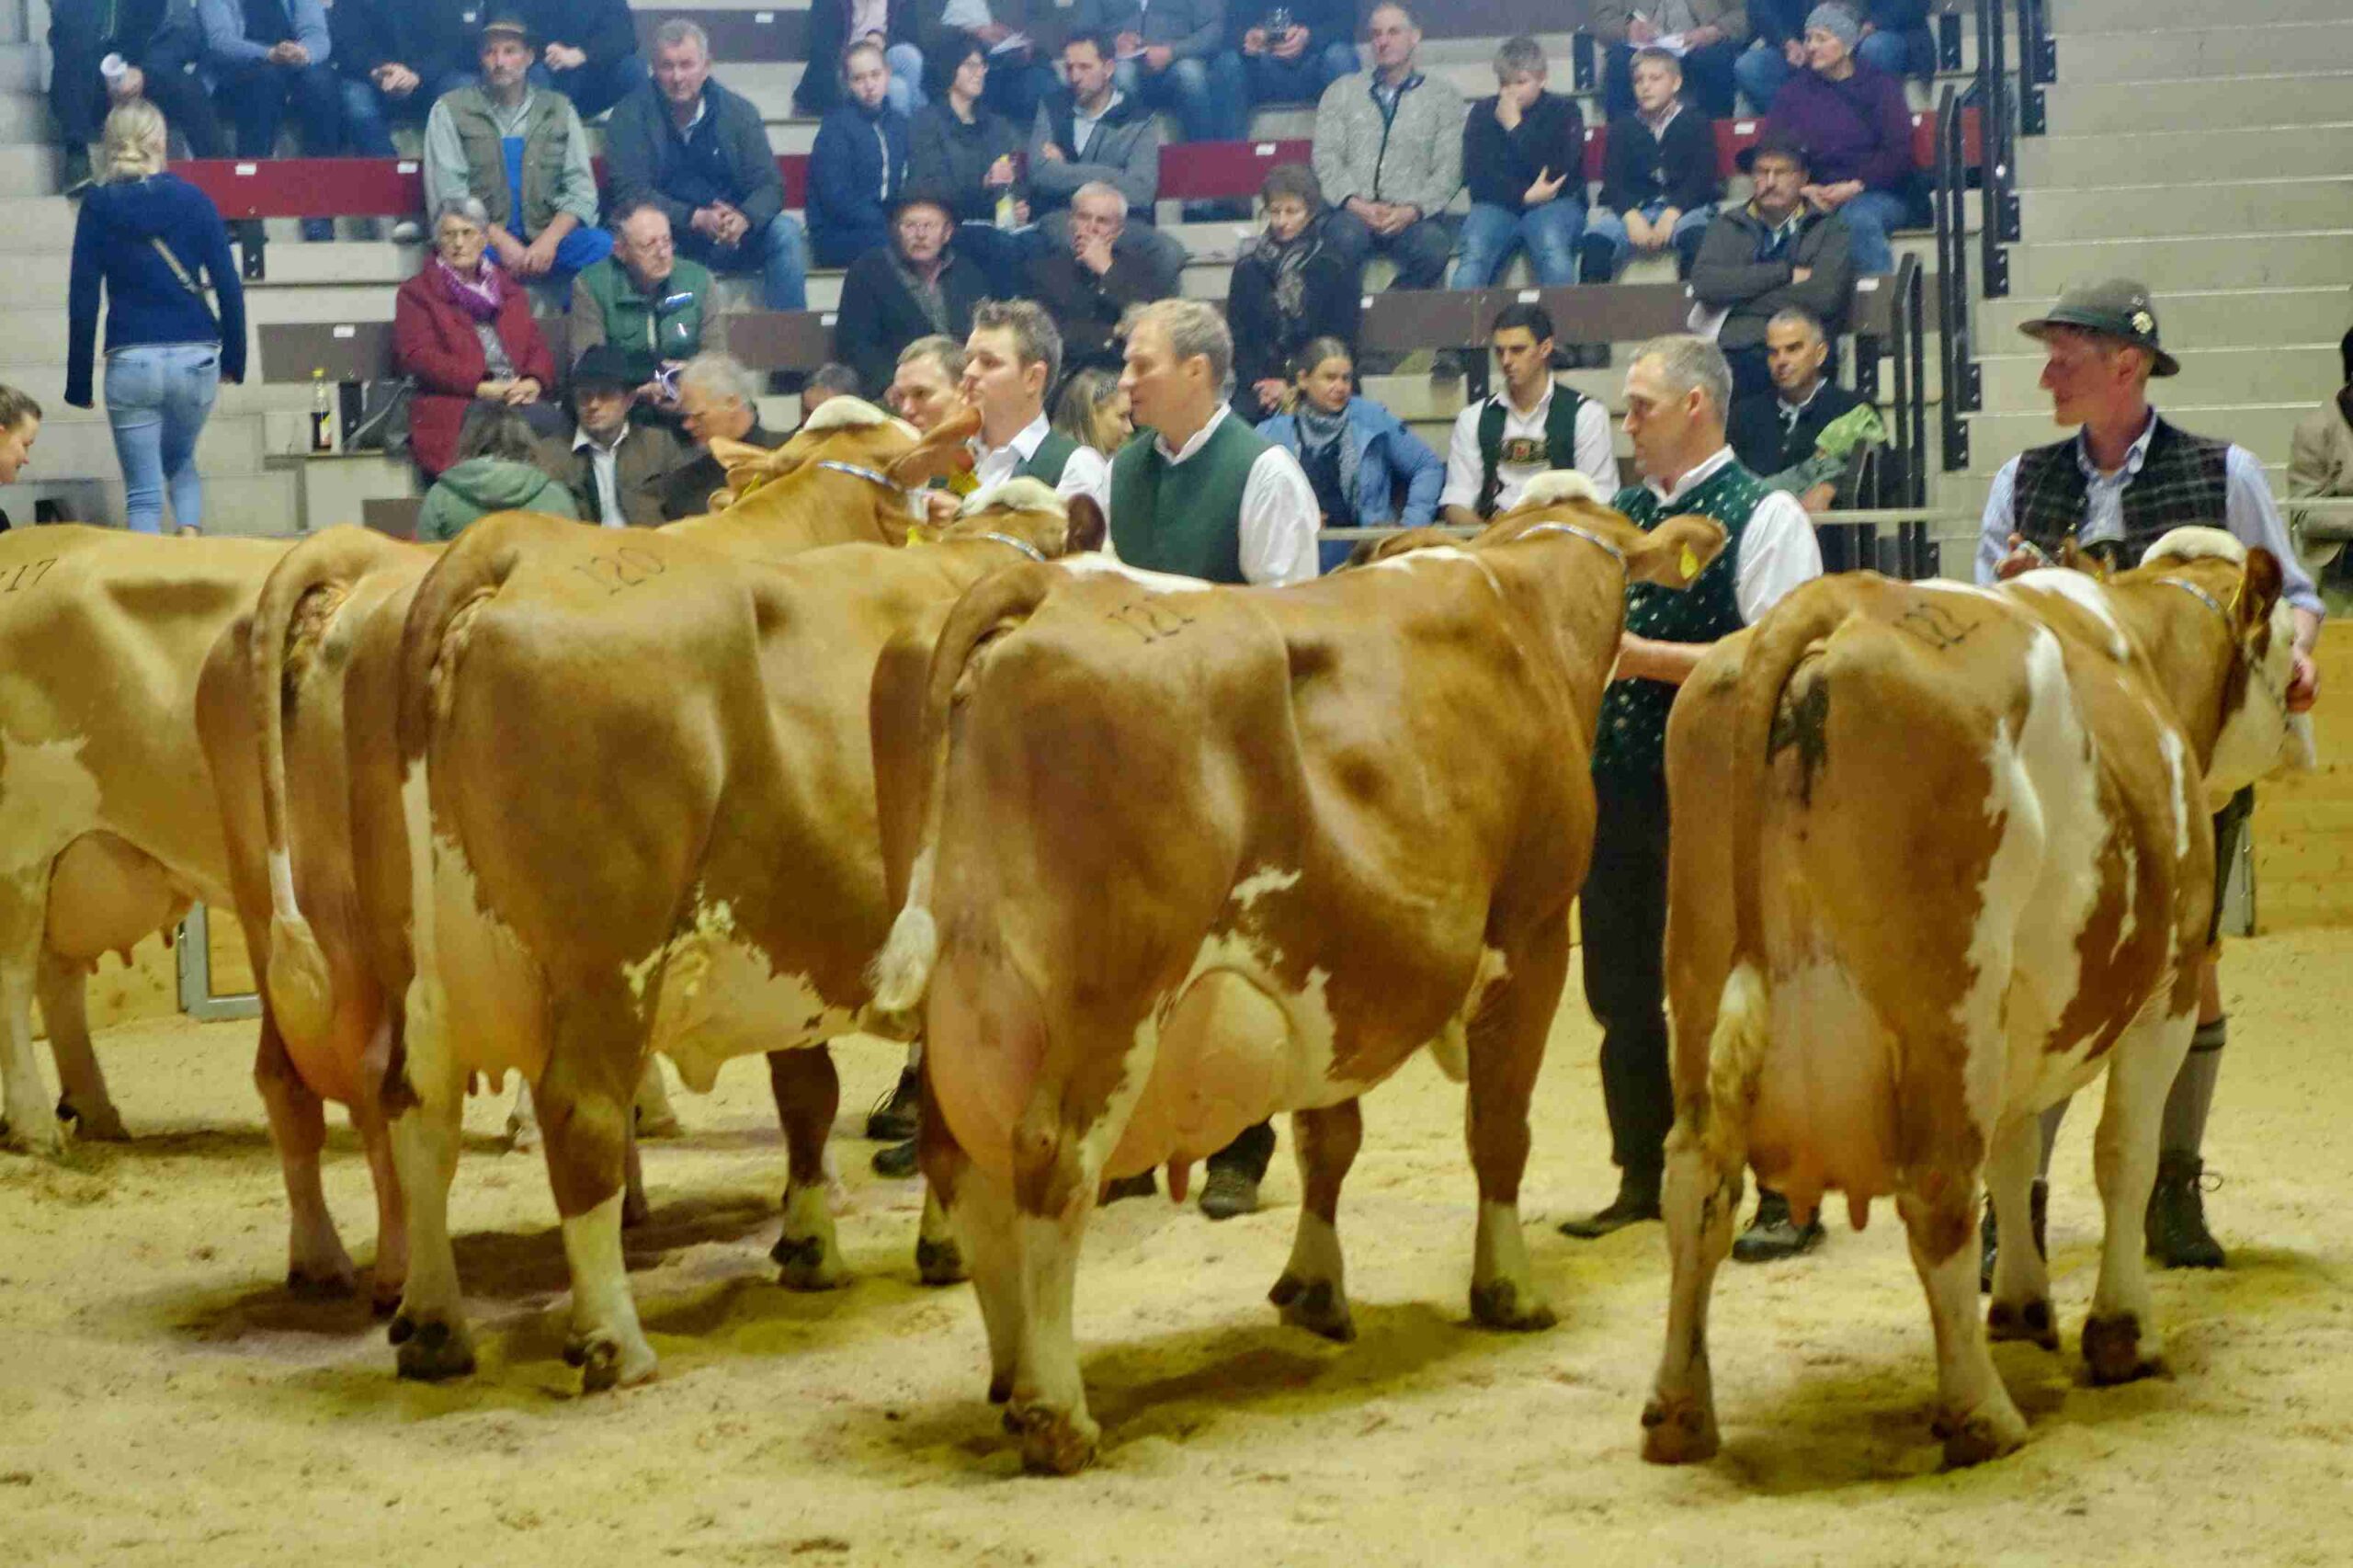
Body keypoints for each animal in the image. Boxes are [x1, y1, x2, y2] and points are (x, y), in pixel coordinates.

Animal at [198, 397, 976, 1307]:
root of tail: (345, 566)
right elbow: (802, 1079)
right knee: (384, 1079)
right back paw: (398, 1266)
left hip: (279, 911)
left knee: (299, 1078)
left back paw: (328, 1258)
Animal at [383, 476, 1100, 1391]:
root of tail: (514, 545)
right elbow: (947, 1109)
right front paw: (943, 1245)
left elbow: (809, 1098)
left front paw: (810, 1244)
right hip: (605, 960)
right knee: (580, 1114)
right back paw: (612, 1340)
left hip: (426, 964)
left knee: (419, 1113)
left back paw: (434, 1323)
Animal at [864, 476, 1729, 1474]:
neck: (1522, 604)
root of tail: (1044, 585)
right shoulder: (1534, 929)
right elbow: (1499, 1130)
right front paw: (1507, 1288)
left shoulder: (1336, 959)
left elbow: (1330, 1134)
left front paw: (1314, 1286)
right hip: (1110, 997)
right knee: (1049, 1159)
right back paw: (1056, 1412)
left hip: (962, 1001)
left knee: (959, 1161)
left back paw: (1010, 1376)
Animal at [1638, 528, 2314, 1470]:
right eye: (2286, 638)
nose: (2302, 705)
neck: (2142, 649)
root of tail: (1837, 601)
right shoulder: (2169, 988)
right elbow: (2120, 1156)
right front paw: (2121, 1334)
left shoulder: (2021, 1018)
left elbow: (2018, 1153)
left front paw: (2025, 1305)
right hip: (1946, 1009)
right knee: (1937, 1191)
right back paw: (1980, 1414)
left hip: (1701, 982)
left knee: (1696, 1186)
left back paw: (1678, 1409)